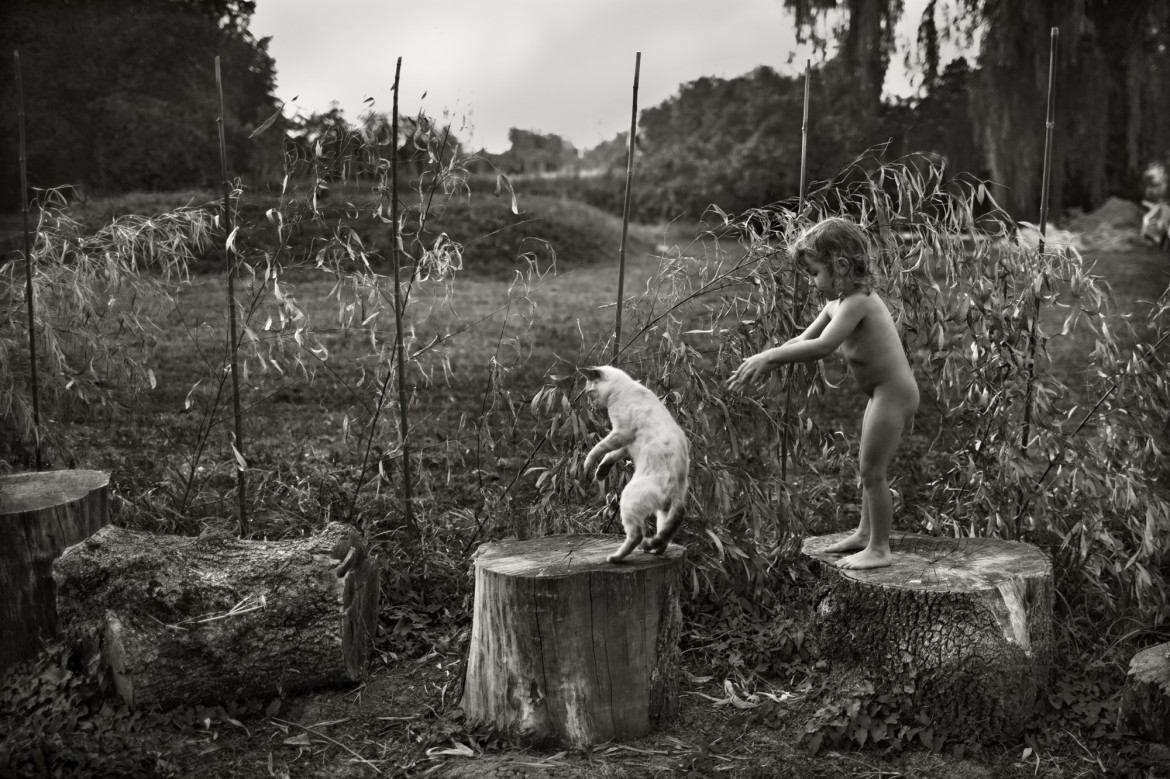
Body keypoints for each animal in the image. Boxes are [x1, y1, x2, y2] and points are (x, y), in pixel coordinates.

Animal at [582, 367, 687, 561]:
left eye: (589, 393)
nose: (590, 406)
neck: (621, 388)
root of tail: (679, 494)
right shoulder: (627, 444)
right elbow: (610, 456)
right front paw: (600, 472)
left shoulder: (621, 433)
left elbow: (598, 449)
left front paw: (588, 465)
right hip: (663, 513)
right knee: (663, 536)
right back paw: (653, 551)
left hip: (628, 498)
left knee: (637, 535)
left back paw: (615, 558)